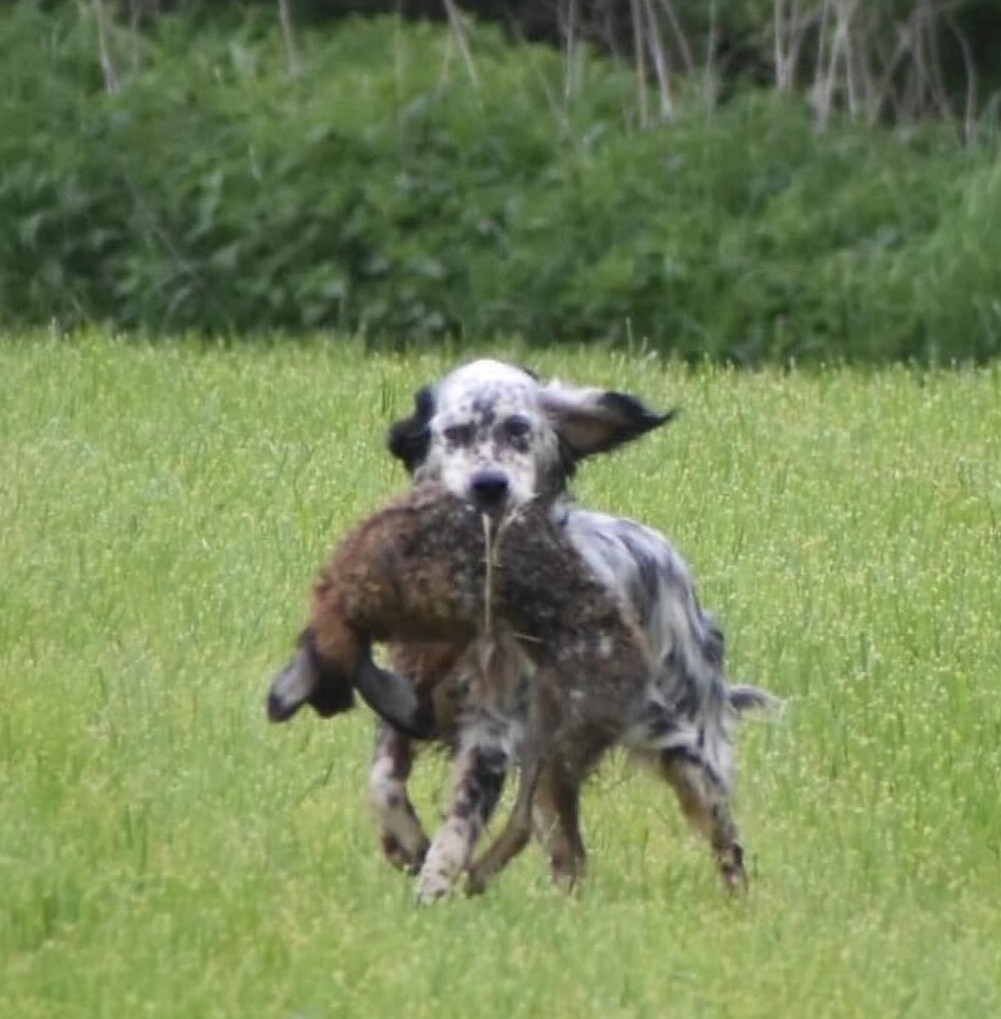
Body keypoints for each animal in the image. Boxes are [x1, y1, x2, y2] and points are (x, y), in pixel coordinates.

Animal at [373, 358, 778, 900]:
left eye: (518, 430)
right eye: (454, 434)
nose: (490, 485)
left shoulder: (491, 731)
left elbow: (458, 825)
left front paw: (433, 886)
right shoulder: (405, 697)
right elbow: (382, 783)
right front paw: (405, 843)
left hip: (683, 751)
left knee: (725, 842)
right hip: (556, 765)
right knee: (557, 841)